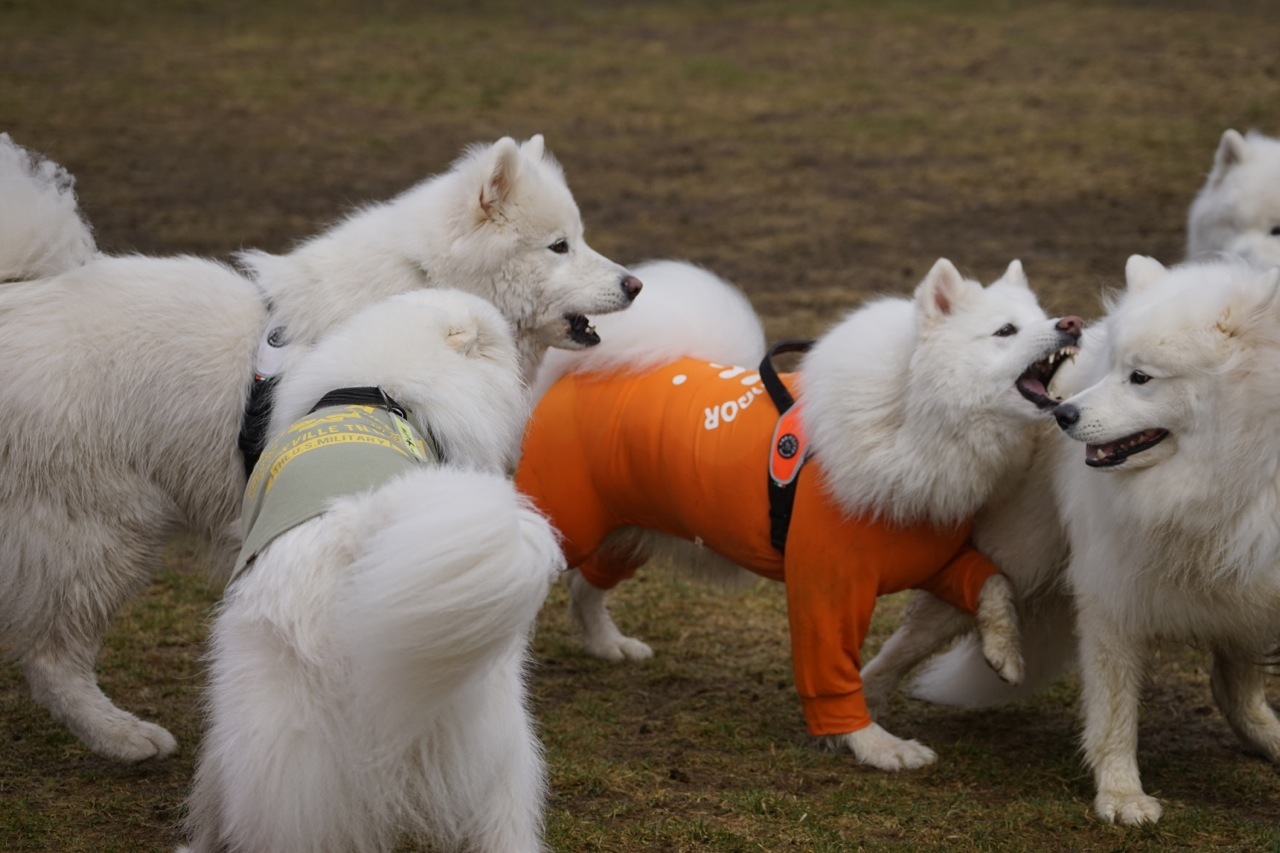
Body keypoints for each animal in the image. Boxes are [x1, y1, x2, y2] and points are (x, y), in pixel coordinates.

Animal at [0, 133, 640, 758]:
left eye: (580, 238)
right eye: (559, 246)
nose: (634, 283)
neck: (428, 290)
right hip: (103, 530)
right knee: (52, 659)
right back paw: (121, 735)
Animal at [514, 257, 1085, 763]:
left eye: (1043, 315)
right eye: (1006, 331)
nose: (1073, 323)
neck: (908, 416)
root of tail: (573, 374)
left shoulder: (935, 559)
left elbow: (993, 584)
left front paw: (1005, 654)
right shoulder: (827, 587)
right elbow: (833, 673)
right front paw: (875, 747)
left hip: (631, 529)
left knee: (586, 587)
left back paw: (608, 645)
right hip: (571, 524)